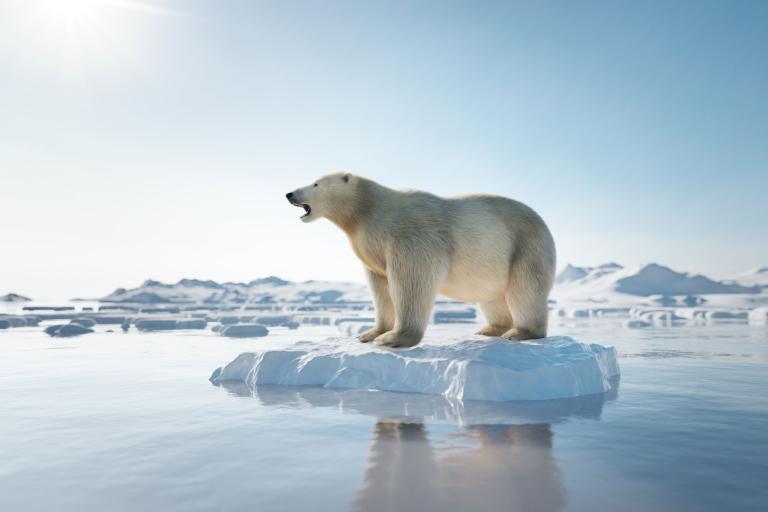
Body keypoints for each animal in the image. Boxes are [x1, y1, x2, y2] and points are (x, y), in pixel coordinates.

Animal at [284, 173, 556, 348]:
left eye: (315, 183)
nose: (289, 193)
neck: (368, 211)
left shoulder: (410, 235)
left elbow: (411, 280)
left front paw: (394, 338)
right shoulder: (372, 247)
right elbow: (380, 287)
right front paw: (370, 333)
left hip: (526, 246)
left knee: (525, 289)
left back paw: (520, 332)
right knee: (492, 296)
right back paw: (490, 329)